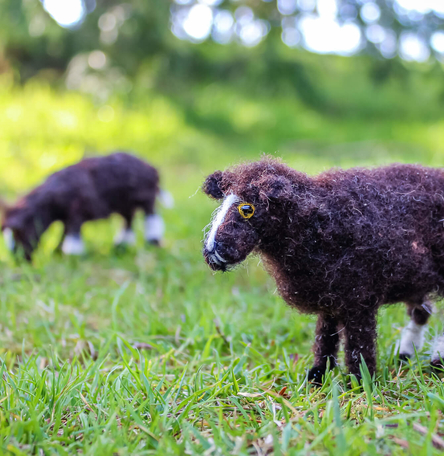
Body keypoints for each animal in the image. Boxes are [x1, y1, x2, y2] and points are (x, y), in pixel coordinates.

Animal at [0, 152, 171, 260]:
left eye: (20, 233)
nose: (20, 260)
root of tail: (151, 168)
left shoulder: (77, 212)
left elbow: (73, 234)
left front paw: (71, 256)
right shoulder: (66, 217)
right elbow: (64, 233)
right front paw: (57, 253)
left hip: (146, 198)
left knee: (152, 216)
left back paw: (153, 241)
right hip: (125, 205)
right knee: (128, 220)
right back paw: (120, 245)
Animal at [201, 157, 444, 382]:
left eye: (247, 209)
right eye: (221, 205)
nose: (212, 251)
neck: (319, 224)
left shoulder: (360, 298)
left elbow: (359, 344)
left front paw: (361, 382)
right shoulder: (329, 296)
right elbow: (325, 336)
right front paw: (318, 375)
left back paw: (436, 361)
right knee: (422, 312)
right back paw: (406, 355)